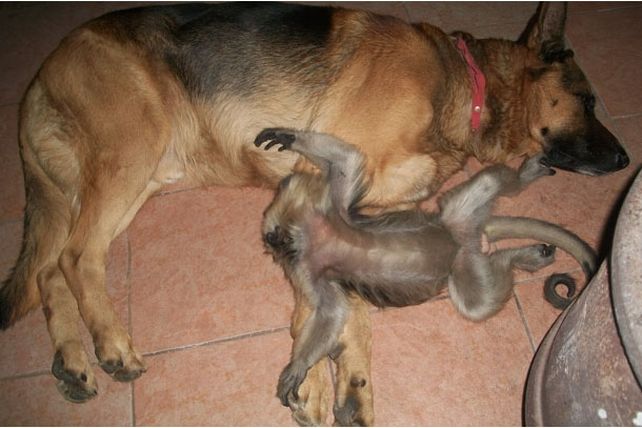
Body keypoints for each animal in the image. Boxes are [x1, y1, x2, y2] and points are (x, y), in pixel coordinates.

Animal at [253, 128, 596, 407]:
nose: (276, 243)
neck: (311, 235)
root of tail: (468, 236)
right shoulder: (309, 262)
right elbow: (332, 311)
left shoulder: (325, 228)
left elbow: (348, 162)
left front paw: (289, 137)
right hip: (464, 248)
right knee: (476, 297)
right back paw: (520, 256)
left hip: (453, 220)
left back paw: (522, 193)